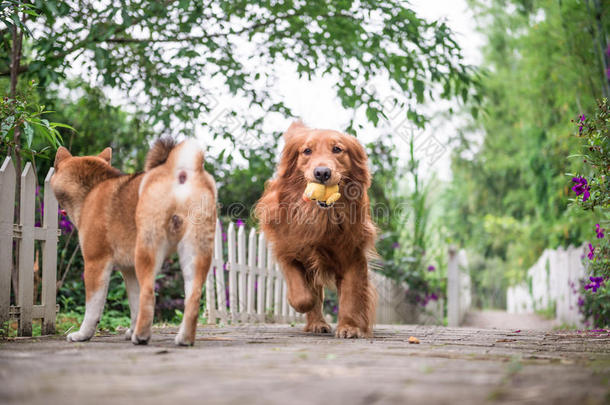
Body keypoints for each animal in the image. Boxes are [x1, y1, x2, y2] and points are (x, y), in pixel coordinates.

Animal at [51, 139, 216, 344]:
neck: (92, 190)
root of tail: (181, 173)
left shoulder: (95, 262)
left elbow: (93, 308)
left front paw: (83, 334)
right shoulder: (128, 270)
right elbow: (134, 304)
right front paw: (130, 329)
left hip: (146, 251)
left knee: (149, 295)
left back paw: (141, 336)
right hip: (194, 252)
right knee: (193, 297)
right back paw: (183, 339)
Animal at [253, 120, 376, 338]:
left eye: (337, 149)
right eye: (307, 151)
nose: (322, 173)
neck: (319, 216)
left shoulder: (353, 254)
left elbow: (351, 295)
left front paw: (349, 326)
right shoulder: (288, 251)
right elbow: (303, 296)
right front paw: (307, 305)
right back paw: (317, 322)